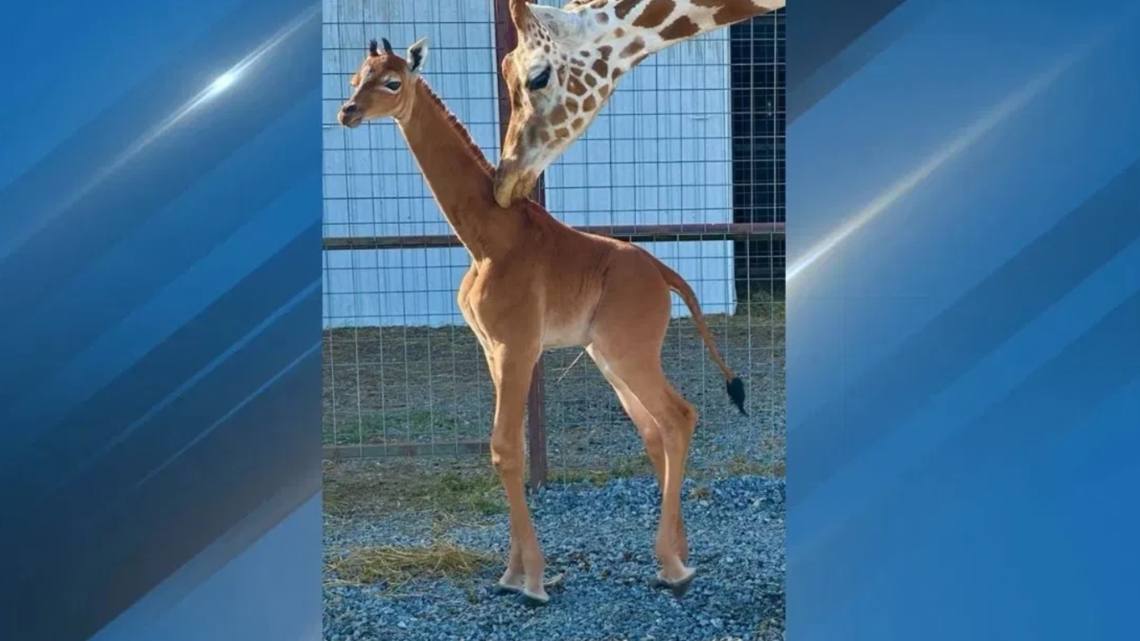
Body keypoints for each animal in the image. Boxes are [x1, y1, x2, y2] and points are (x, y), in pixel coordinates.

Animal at [337, 37, 747, 605]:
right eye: (356, 77)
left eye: (392, 82)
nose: (347, 112)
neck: (487, 238)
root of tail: (665, 274)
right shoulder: (493, 349)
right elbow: (508, 449)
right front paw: (512, 573)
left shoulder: (517, 346)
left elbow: (505, 448)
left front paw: (530, 579)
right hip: (607, 356)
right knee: (654, 428)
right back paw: (680, 556)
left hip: (630, 351)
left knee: (678, 416)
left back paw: (672, 566)